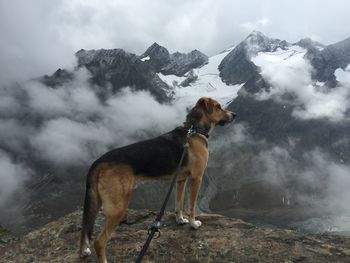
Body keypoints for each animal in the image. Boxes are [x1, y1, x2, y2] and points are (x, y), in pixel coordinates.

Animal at [79, 97, 237, 263]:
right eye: (218, 107)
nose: (234, 114)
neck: (194, 130)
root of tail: (99, 162)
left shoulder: (180, 180)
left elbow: (179, 203)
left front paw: (180, 220)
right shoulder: (197, 178)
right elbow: (192, 206)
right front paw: (194, 223)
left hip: (96, 201)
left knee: (85, 227)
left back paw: (84, 251)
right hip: (118, 207)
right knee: (99, 241)